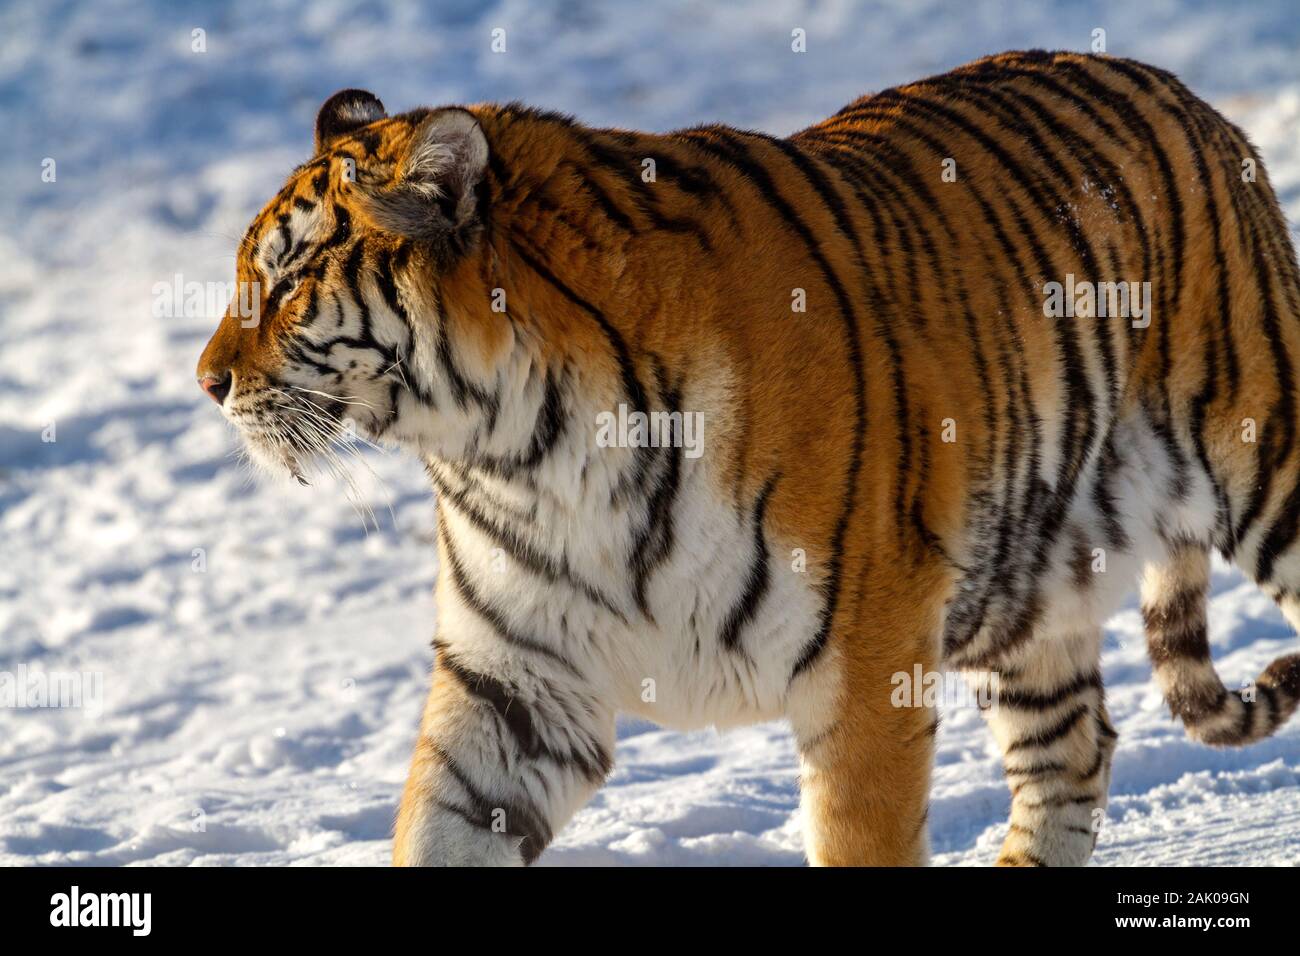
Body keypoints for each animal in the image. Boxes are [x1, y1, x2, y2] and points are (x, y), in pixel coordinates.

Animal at [195, 50, 1300, 868]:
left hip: (1265, 466)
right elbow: (438, 830)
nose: (206, 381)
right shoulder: (516, 682)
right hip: (1021, 587)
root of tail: (1188, 96)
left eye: (286, 281)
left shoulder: (865, 672)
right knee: (1072, 753)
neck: (525, 450)